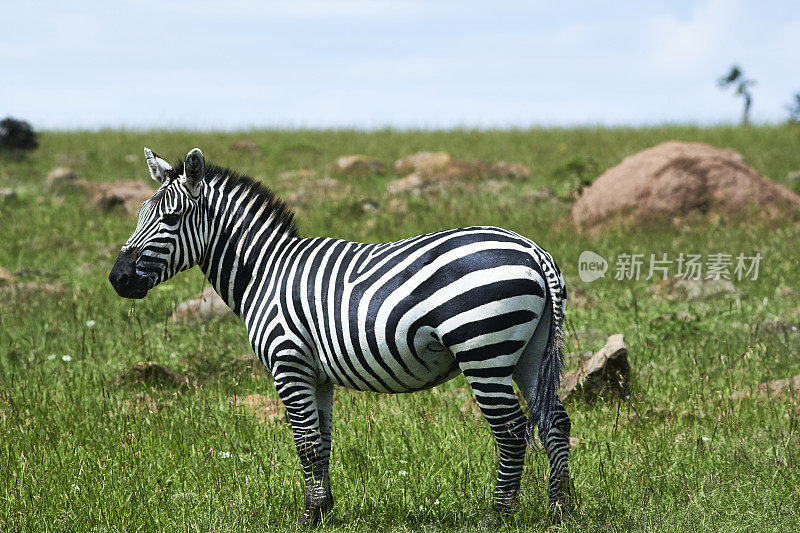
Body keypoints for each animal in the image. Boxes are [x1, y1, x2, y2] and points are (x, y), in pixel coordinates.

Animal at [109, 147, 572, 524]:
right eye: (140, 215)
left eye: (170, 219)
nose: (118, 278)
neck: (265, 271)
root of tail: (533, 251)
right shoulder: (318, 376)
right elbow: (323, 442)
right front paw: (324, 510)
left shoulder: (288, 364)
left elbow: (306, 444)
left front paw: (308, 517)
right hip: (529, 352)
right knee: (554, 421)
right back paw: (560, 510)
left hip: (483, 350)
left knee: (511, 429)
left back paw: (498, 514)